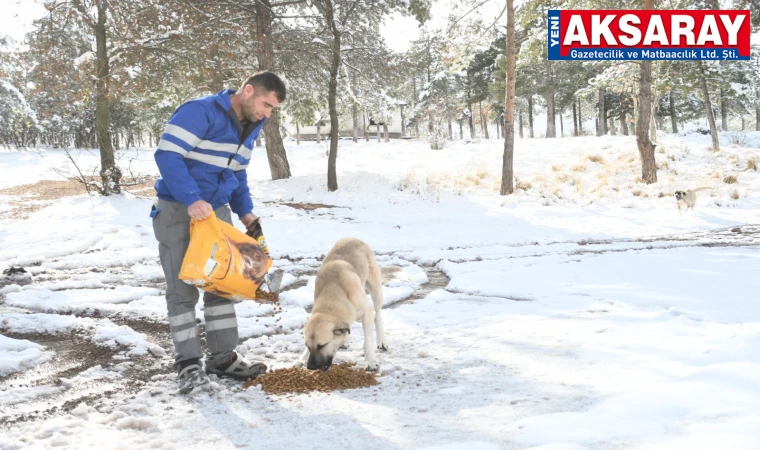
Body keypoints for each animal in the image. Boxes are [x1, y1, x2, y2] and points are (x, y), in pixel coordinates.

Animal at [296, 237, 388, 370]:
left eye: (322, 345)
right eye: (308, 346)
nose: (310, 367)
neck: (333, 295)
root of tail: (352, 238)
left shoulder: (367, 310)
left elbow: (367, 341)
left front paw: (370, 361)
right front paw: (302, 358)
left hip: (376, 290)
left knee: (378, 315)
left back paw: (381, 341)